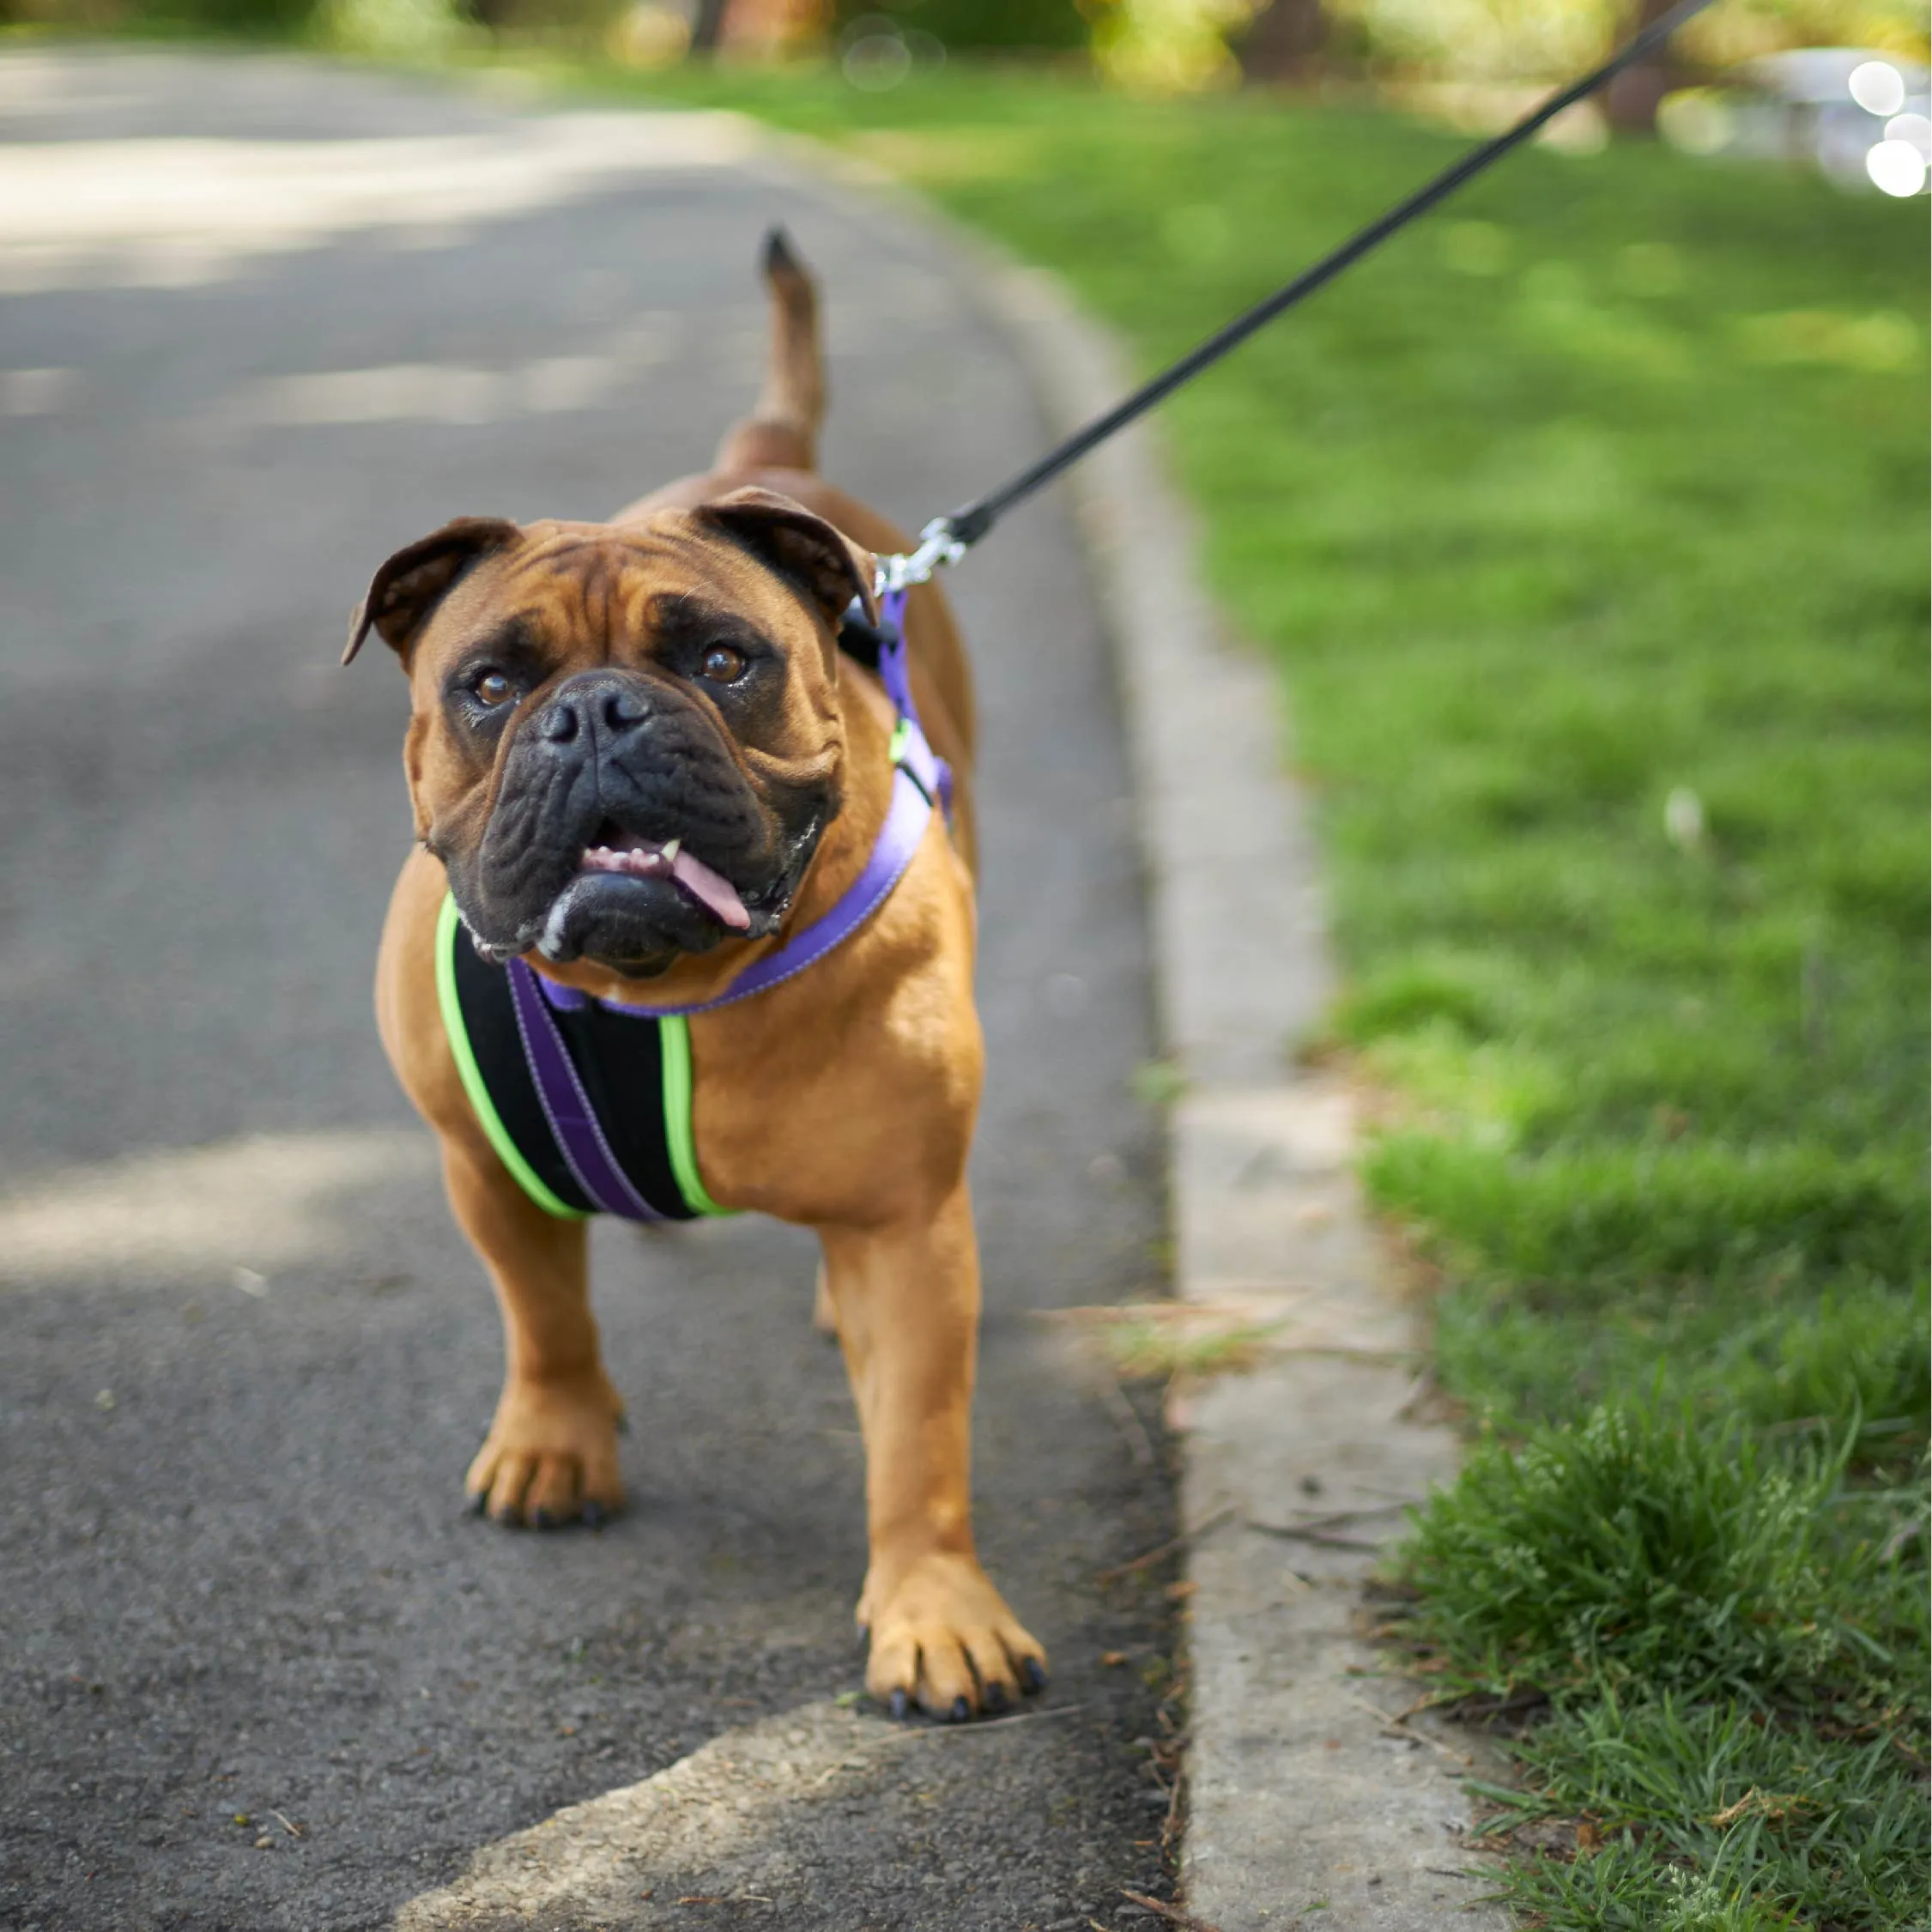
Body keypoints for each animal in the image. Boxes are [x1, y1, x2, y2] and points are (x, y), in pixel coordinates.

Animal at [343, 233, 1043, 1730]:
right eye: (489, 683)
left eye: (725, 660)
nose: (596, 712)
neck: (655, 988)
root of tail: (766, 461)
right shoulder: (480, 1171)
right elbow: (542, 1311)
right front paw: (554, 1442)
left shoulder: (907, 1225)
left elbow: (918, 1442)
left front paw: (934, 1609)